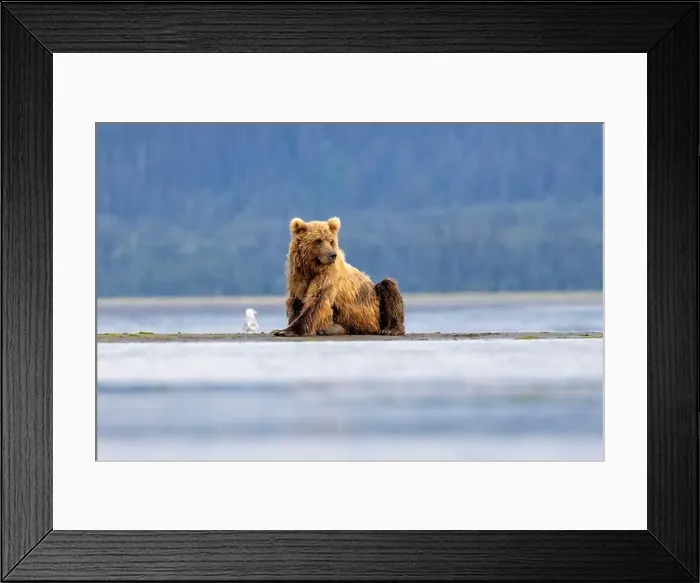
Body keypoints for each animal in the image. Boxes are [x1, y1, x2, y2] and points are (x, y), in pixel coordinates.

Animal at [271, 217, 405, 337]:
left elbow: (317, 300)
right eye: (318, 240)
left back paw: (391, 329)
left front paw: (286, 331)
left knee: (388, 287)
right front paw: (284, 327)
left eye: (331, 241)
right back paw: (333, 328)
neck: (311, 268)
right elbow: (297, 301)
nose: (332, 255)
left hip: (373, 308)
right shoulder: (297, 276)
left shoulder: (328, 276)